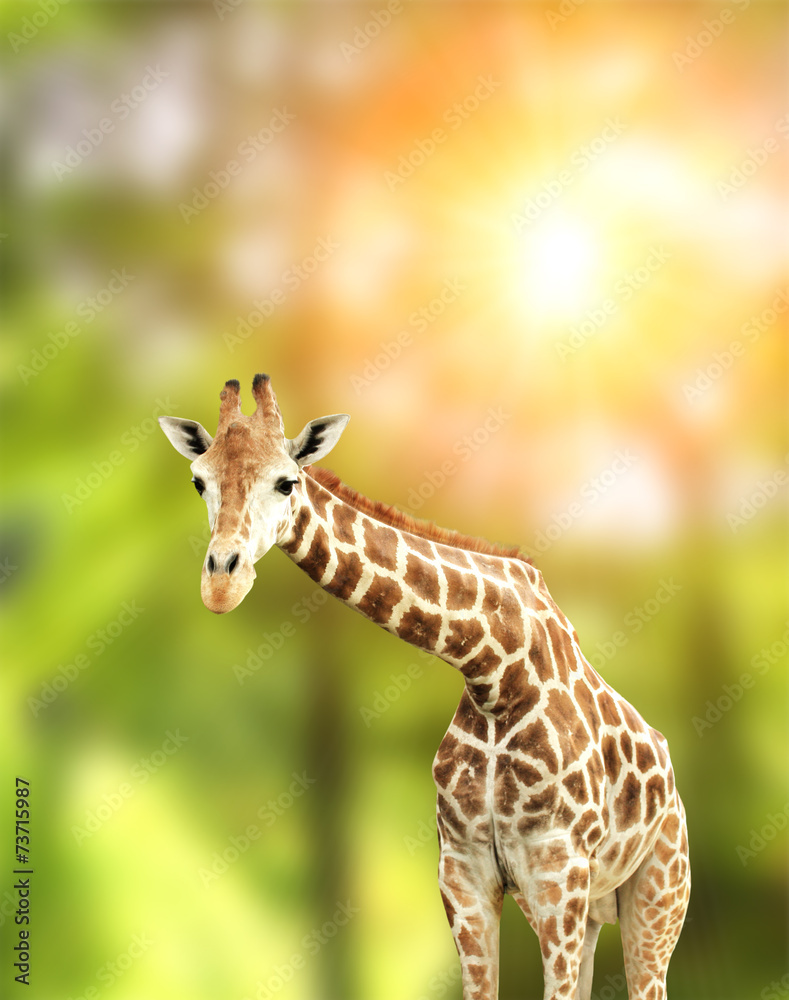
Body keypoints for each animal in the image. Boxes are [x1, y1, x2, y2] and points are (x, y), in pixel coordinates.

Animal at [159, 375, 690, 1000]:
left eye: (286, 481)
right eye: (199, 481)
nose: (222, 584)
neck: (495, 672)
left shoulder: (557, 872)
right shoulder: (463, 873)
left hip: (656, 894)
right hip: (588, 913)